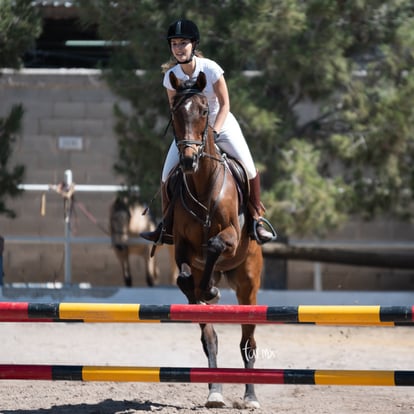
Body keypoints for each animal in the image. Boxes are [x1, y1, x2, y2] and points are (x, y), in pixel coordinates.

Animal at [167, 71, 262, 408]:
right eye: (175, 112)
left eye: (204, 111)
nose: (188, 160)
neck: (203, 182)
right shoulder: (182, 247)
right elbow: (184, 276)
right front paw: (204, 292)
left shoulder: (231, 236)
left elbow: (217, 245)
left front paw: (210, 290)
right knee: (210, 339)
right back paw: (215, 392)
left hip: (248, 285)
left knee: (248, 342)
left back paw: (250, 397)